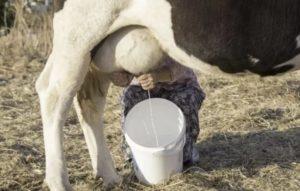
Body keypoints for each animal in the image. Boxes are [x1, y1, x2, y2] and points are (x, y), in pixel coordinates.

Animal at [36, 0, 300, 190]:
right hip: (79, 32)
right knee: (53, 93)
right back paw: (60, 183)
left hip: (97, 47)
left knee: (89, 101)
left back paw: (110, 177)